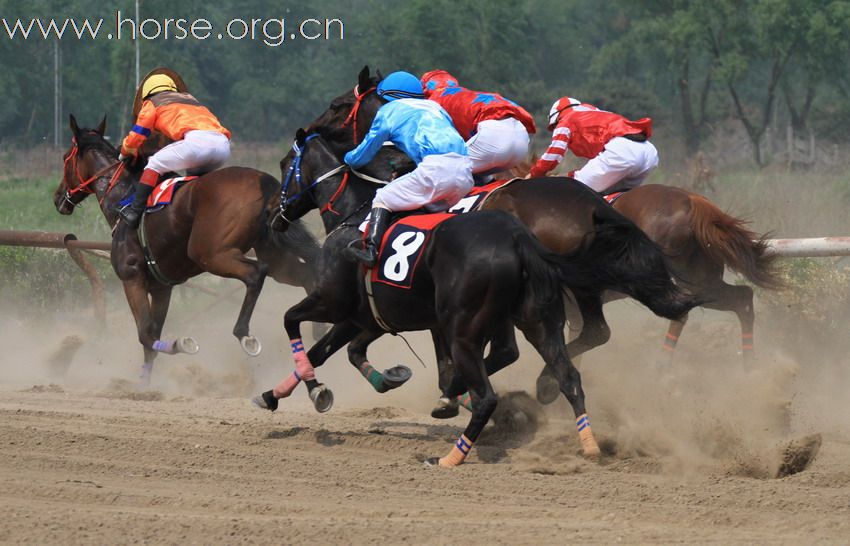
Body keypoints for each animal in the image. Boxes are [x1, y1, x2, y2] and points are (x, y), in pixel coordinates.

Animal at [53, 115, 318, 386]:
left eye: (65, 157)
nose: (58, 197)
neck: (121, 197)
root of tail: (263, 180)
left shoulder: (132, 278)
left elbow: (145, 335)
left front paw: (181, 344)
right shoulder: (162, 287)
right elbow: (150, 340)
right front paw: (144, 385)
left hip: (209, 253)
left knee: (256, 273)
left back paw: (244, 334)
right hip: (273, 255)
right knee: (306, 275)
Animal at [252, 131, 604, 464]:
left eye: (285, 165)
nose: (271, 214)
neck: (354, 217)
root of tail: (518, 239)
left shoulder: (333, 302)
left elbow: (292, 322)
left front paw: (316, 389)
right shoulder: (364, 316)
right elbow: (327, 351)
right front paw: (272, 395)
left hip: (464, 328)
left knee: (489, 390)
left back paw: (452, 451)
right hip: (535, 320)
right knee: (564, 375)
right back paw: (587, 443)